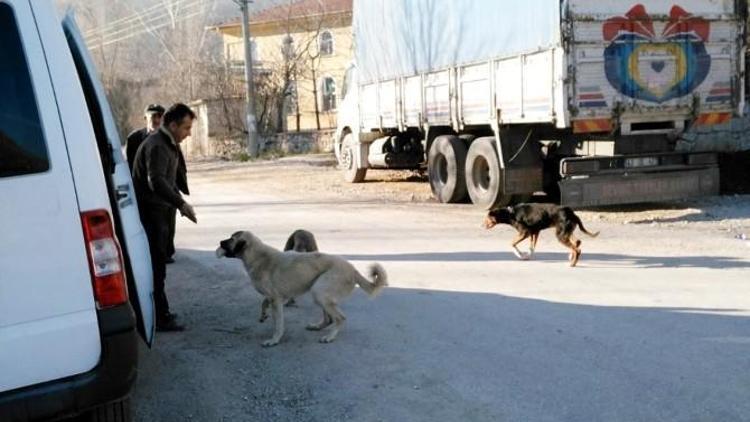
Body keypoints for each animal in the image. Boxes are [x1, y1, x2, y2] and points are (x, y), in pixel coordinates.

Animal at [214, 231, 384, 346]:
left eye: (231, 239)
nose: (220, 241)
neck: (257, 256)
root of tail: (353, 269)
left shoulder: (276, 301)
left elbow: (278, 324)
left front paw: (274, 340)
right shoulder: (274, 297)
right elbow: (264, 303)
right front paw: (263, 315)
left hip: (319, 292)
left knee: (340, 318)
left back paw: (329, 337)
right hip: (321, 295)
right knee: (329, 318)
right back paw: (318, 327)